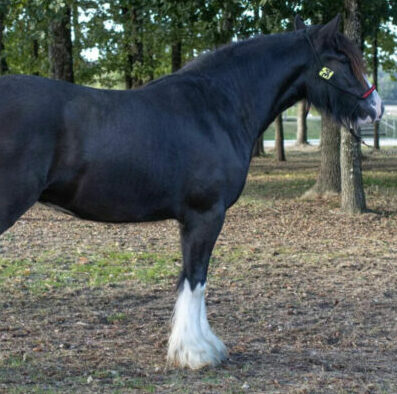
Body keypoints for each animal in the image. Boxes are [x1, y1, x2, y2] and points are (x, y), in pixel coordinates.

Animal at [0, 14, 384, 366]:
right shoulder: (205, 215)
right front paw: (196, 352)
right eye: (342, 60)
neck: (217, 107)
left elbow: (190, 277)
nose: (376, 108)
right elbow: (196, 278)